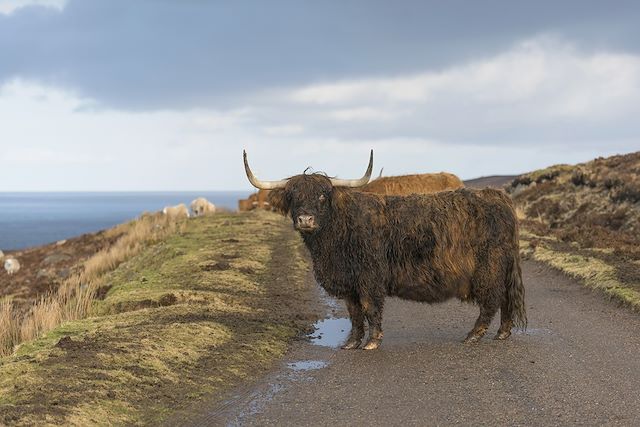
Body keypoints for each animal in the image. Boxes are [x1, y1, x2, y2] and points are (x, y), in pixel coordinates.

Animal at [244, 150, 524, 352]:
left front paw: (372, 342)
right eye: (292, 195)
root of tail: (497, 196)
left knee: (492, 300)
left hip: (489, 267)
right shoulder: (349, 282)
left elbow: (369, 308)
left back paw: (473, 336)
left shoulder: (369, 277)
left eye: (323, 195)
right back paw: (502, 333)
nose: (305, 219)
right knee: (506, 298)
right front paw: (351, 343)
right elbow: (354, 313)